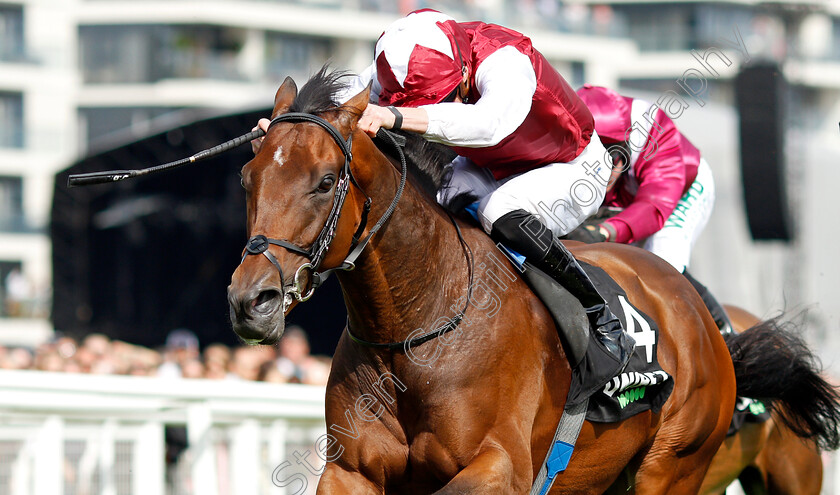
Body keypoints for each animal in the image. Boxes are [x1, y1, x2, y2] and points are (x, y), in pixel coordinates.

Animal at [226, 69, 836, 492]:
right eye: (247, 178)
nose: (251, 300)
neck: (416, 327)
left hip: (680, 467)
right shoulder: (351, 470)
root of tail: (702, 323)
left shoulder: (501, 467)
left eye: (326, 181)